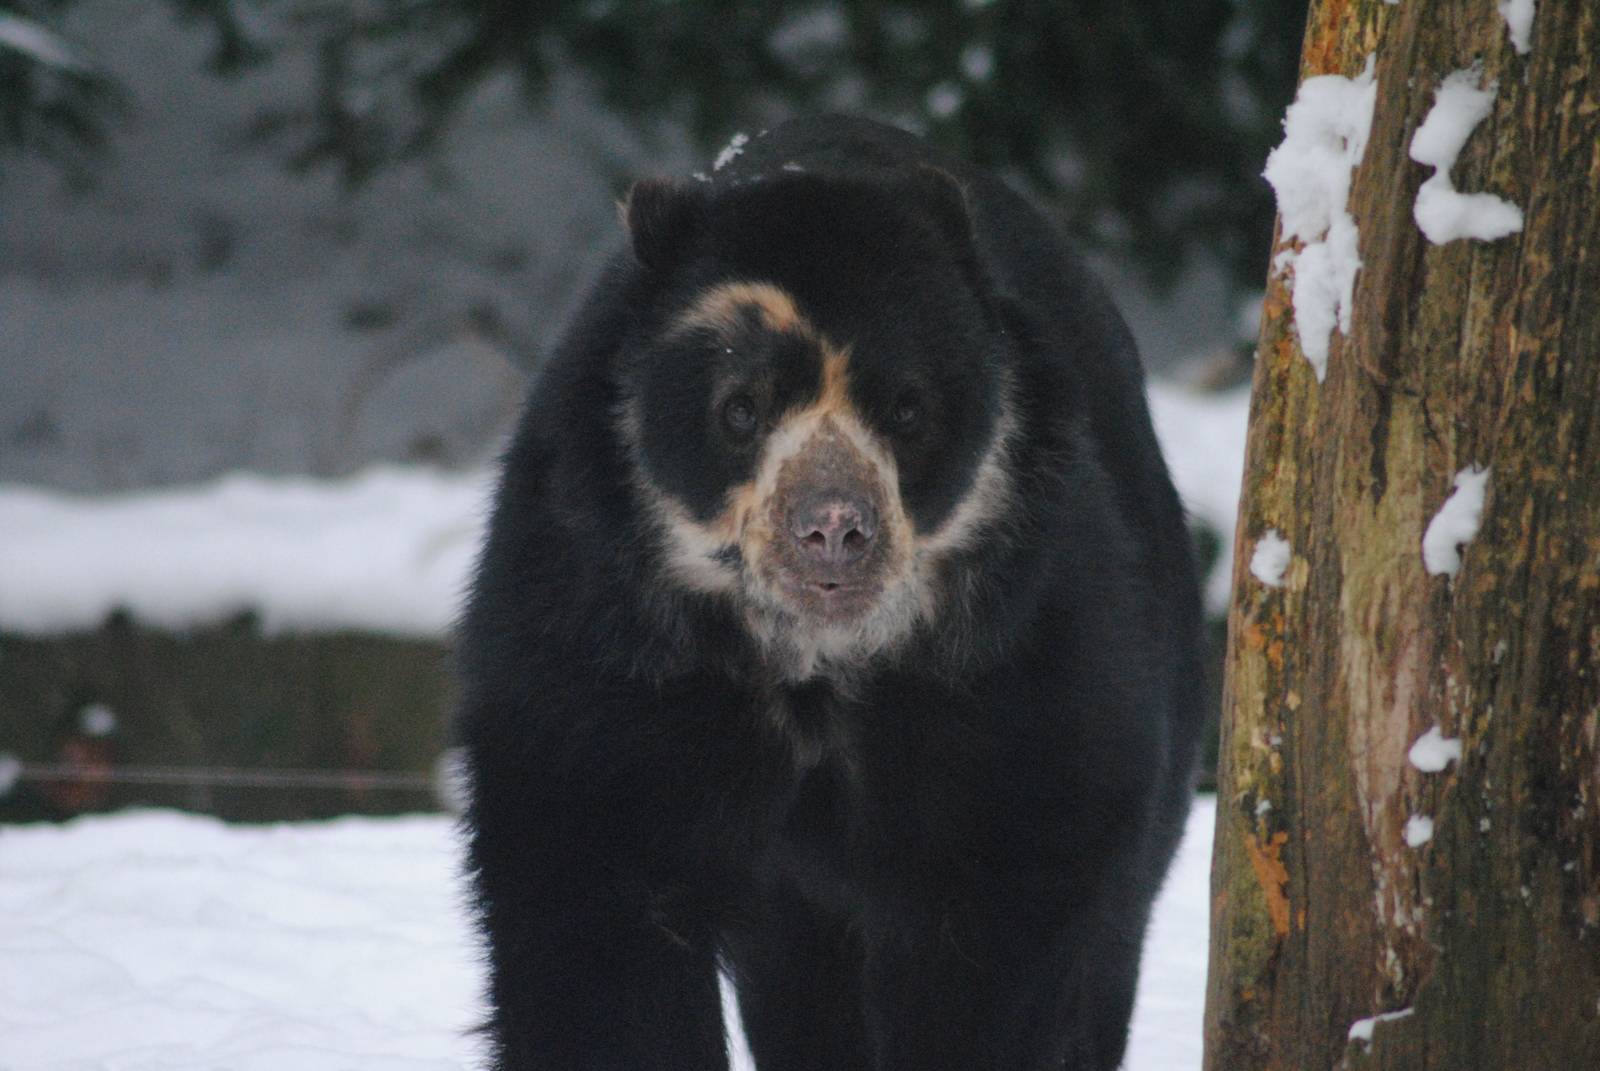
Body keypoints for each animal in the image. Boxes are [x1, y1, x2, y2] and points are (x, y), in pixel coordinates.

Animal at [454, 114, 1204, 1071]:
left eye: (908, 408)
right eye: (740, 408)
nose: (835, 527)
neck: (812, 665)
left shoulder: (1026, 667)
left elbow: (1001, 930)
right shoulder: (599, 650)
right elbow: (595, 922)